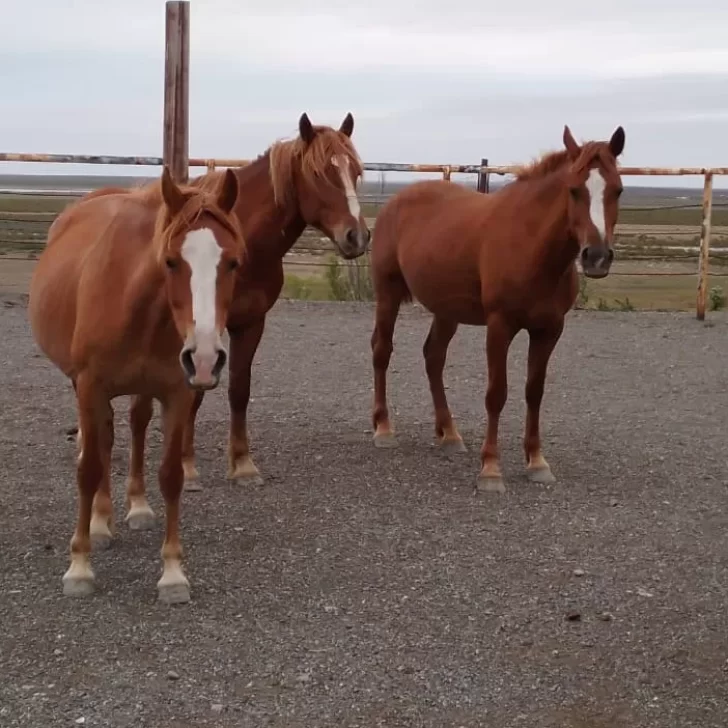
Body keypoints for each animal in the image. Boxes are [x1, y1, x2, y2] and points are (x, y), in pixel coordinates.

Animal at [28, 166, 246, 603]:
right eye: (171, 261)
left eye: (231, 263)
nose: (205, 358)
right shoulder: (90, 387)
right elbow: (88, 469)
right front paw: (79, 566)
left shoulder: (177, 394)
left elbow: (171, 475)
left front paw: (173, 573)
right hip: (84, 389)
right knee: (101, 444)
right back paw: (99, 522)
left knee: (133, 427)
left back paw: (131, 509)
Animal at [99, 111, 371, 520]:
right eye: (319, 172)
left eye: (355, 171)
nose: (357, 237)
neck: (245, 242)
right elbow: (194, 393)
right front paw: (188, 468)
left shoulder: (250, 323)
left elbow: (239, 390)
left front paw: (242, 465)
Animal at [368, 124, 626, 492]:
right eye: (574, 190)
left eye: (618, 190)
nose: (597, 257)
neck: (532, 247)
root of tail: (396, 201)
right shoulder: (499, 326)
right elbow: (496, 394)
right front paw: (490, 468)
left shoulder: (549, 330)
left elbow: (534, 392)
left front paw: (536, 462)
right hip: (388, 293)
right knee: (382, 351)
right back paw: (384, 428)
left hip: (447, 310)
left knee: (433, 357)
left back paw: (449, 434)